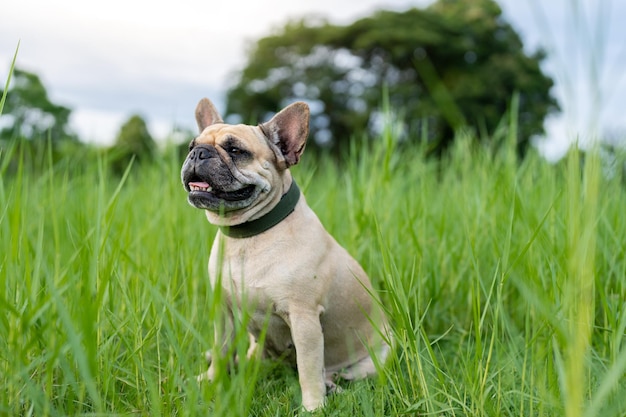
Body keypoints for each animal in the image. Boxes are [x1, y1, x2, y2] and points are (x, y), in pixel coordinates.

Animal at [178, 97, 388, 410]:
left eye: (235, 151)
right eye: (191, 146)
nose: (199, 154)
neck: (248, 236)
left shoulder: (304, 320)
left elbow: (309, 369)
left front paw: (313, 407)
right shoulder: (224, 314)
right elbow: (221, 349)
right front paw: (210, 380)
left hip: (376, 359)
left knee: (342, 374)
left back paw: (331, 385)